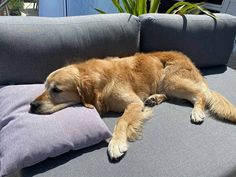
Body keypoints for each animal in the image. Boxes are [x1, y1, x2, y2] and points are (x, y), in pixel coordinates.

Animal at [30, 50, 236, 159]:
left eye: (56, 90)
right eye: (45, 86)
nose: (32, 105)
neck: (101, 84)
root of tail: (188, 60)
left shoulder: (134, 103)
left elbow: (120, 121)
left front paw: (116, 143)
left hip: (171, 79)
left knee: (200, 95)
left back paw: (197, 112)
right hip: (167, 84)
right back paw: (154, 98)